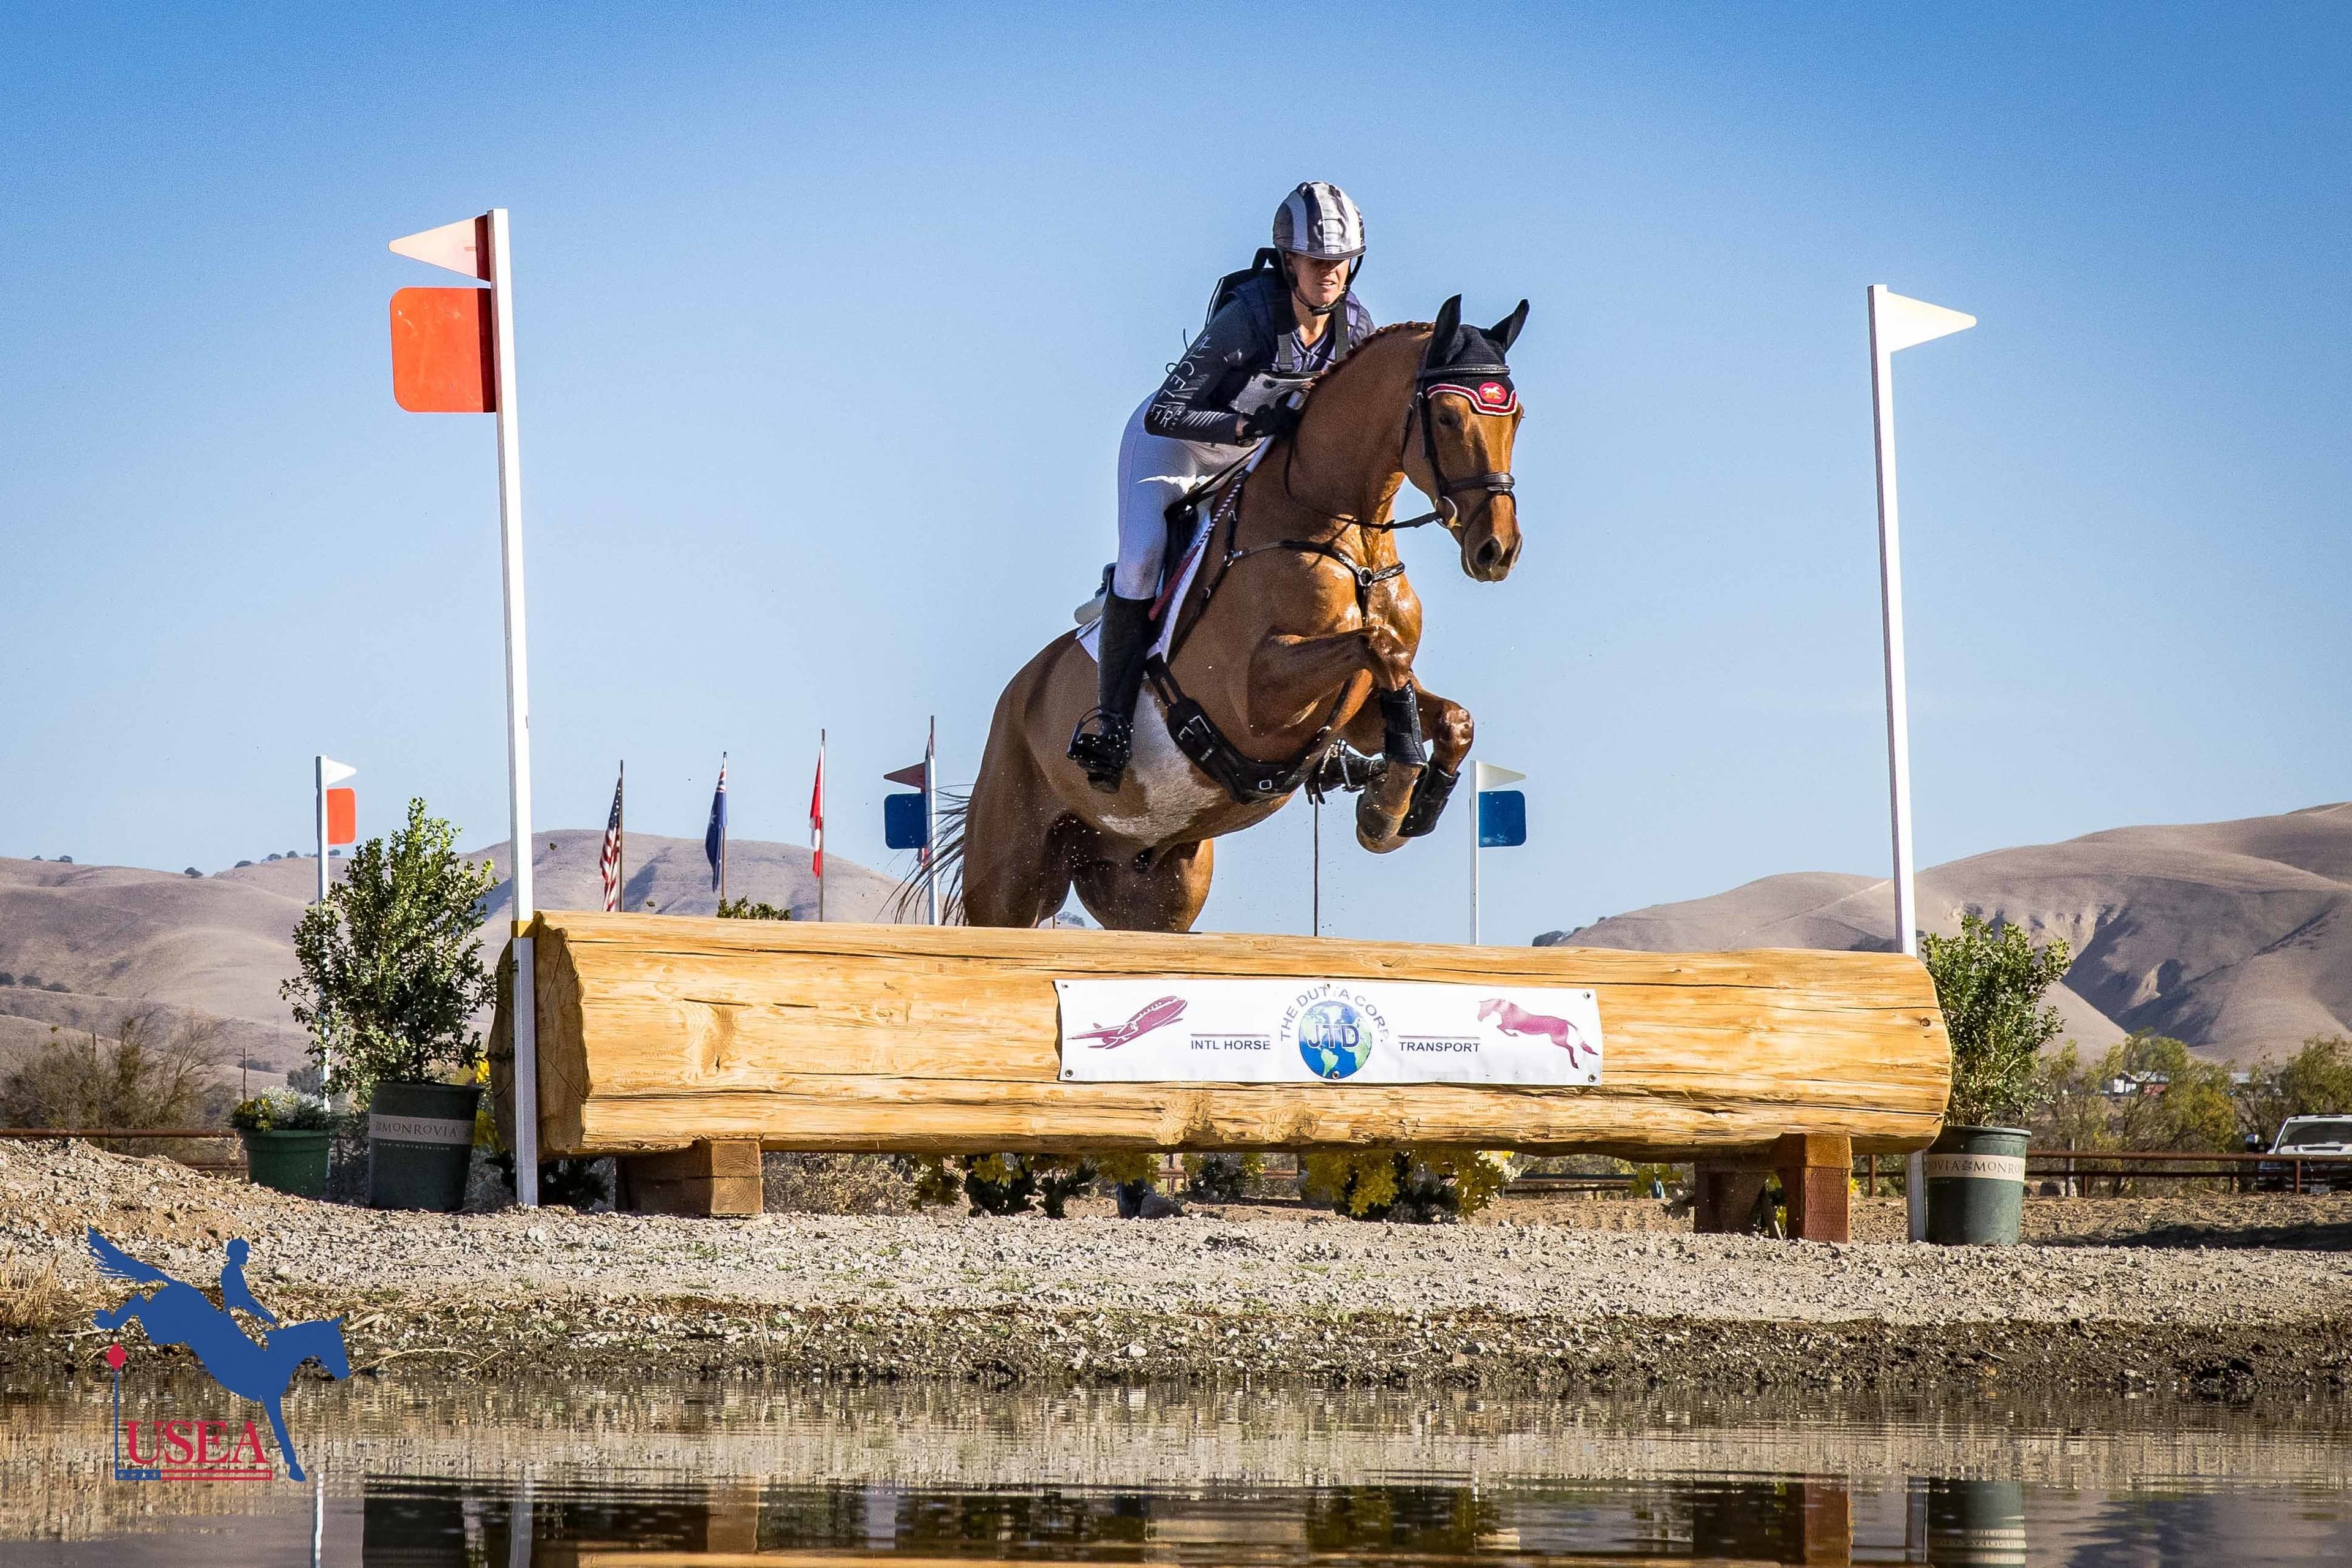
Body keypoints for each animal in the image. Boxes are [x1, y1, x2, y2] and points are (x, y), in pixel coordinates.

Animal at [89, 1229, 350, 1481]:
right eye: (333, 1344)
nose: (345, 1373)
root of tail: (174, 1283)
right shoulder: (270, 1398)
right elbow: (282, 1435)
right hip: (163, 1329)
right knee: (139, 1301)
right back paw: (108, 1320)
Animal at [959, 295, 1529, 931]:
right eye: (1450, 418)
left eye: (1517, 420)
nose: (1498, 550)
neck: (1345, 540)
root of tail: (1018, 694)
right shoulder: (1255, 698)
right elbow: (1378, 650)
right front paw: (1387, 804)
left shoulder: (1355, 712)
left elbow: (1448, 712)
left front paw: (1409, 808)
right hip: (1007, 881)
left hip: (1151, 888)